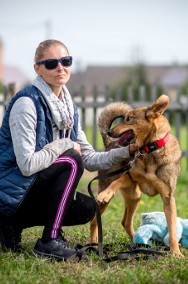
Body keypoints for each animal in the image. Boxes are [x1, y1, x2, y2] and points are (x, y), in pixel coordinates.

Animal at [90, 95, 183, 258]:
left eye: (128, 119)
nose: (109, 132)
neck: (150, 149)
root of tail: (109, 144)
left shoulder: (168, 197)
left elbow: (172, 230)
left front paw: (176, 253)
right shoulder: (129, 176)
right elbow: (116, 182)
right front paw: (106, 193)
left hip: (134, 197)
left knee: (125, 222)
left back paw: (138, 243)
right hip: (114, 199)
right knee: (94, 222)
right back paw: (94, 244)